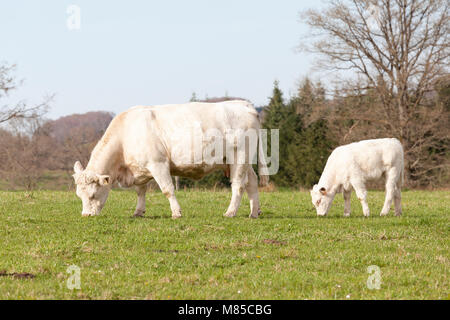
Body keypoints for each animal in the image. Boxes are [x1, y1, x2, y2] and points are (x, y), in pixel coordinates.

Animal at [73, 101, 268, 219]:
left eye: (92, 195)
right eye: (79, 195)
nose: (85, 215)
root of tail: (243, 104)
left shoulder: (158, 164)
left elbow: (167, 190)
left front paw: (176, 213)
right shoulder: (140, 169)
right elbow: (140, 191)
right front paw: (138, 212)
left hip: (240, 157)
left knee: (238, 185)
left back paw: (230, 212)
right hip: (242, 161)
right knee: (252, 182)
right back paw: (254, 212)